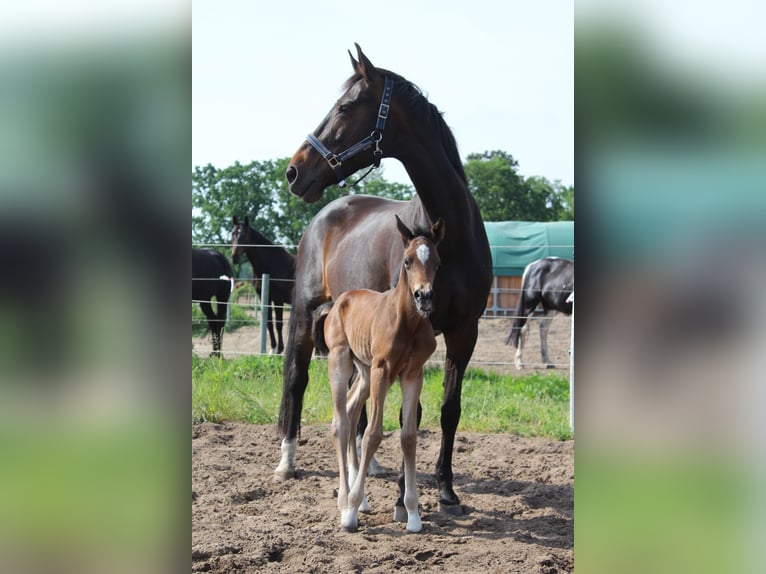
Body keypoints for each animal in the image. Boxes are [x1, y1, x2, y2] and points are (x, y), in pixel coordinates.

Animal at [230, 217, 296, 356]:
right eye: (233, 233)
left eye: (243, 235)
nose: (234, 257)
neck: (271, 263)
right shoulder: (264, 297)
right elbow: (269, 322)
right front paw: (272, 349)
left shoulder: (278, 300)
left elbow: (278, 324)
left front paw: (279, 349)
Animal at [312, 217, 444, 536]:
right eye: (407, 261)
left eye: (437, 262)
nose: (424, 296)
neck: (406, 322)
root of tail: (338, 302)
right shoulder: (383, 370)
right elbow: (373, 433)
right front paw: (349, 514)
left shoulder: (413, 374)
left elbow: (409, 436)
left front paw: (413, 515)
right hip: (341, 361)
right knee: (340, 422)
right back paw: (346, 501)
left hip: (364, 372)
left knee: (350, 411)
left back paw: (358, 500)